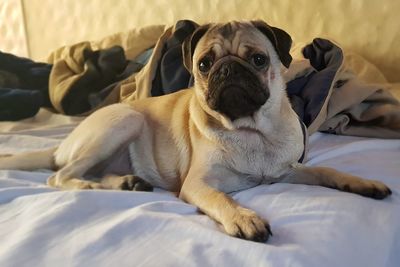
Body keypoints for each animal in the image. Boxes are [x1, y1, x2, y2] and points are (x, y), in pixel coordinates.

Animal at [0, 20, 390, 243]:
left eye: (258, 59)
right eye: (204, 64)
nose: (227, 69)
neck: (251, 130)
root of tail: (62, 145)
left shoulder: (287, 171)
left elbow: (328, 171)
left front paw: (361, 183)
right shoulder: (199, 185)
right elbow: (222, 199)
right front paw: (243, 218)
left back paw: (126, 183)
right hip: (124, 121)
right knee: (61, 176)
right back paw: (92, 185)